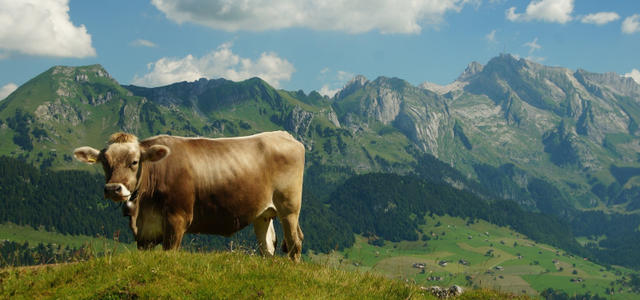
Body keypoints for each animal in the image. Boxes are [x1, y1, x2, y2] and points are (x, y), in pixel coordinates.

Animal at [74, 131, 304, 260]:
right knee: (267, 247)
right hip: (263, 213)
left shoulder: (177, 219)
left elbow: (169, 254)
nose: (113, 189)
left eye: (134, 162)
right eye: (105, 162)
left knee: (294, 243)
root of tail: (283, 134)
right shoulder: (145, 232)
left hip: (289, 207)